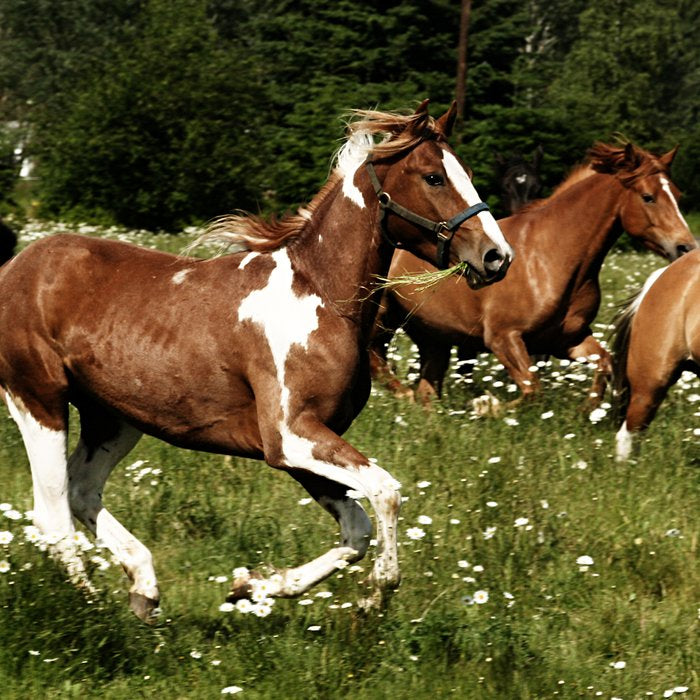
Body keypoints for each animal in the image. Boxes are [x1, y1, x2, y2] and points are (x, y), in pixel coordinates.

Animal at [0, 100, 513, 622]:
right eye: (433, 177)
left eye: (468, 173)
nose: (497, 257)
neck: (320, 298)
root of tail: (15, 267)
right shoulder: (290, 436)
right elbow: (386, 493)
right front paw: (374, 593)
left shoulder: (308, 445)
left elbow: (357, 530)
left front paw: (252, 587)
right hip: (39, 400)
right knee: (52, 515)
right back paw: (93, 609)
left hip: (115, 418)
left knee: (82, 491)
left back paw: (144, 588)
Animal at [369, 141, 697, 407]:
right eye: (648, 197)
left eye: (678, 194)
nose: (685, 247)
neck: (551, 257)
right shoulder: (504, 338)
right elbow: (532, 390)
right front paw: (486, 407)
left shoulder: (565, 340)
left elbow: (603, 365)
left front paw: (587, 413)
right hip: (383, 318)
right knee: (377, 361)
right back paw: (406, 396)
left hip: (432, 336)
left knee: (425, 385)